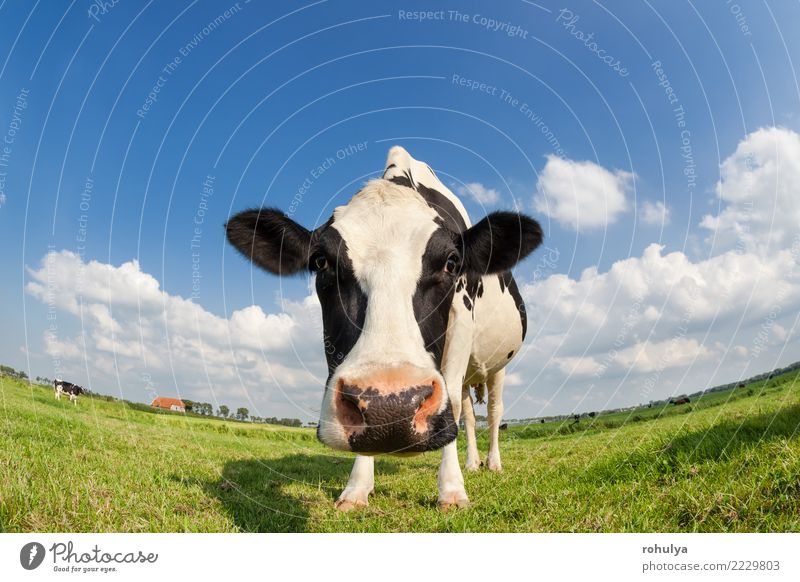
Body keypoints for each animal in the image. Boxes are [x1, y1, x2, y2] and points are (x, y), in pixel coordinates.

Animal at [223, 147, 544, 512]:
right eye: (320, 261)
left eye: (451, 262)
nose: (391, 408)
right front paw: (357, 488)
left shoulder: (462, 318)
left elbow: (452, 404)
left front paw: (451, 491)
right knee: (470, 413)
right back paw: (472, 463)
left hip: (498, 365)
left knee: (491, 410)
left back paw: (492, 463)